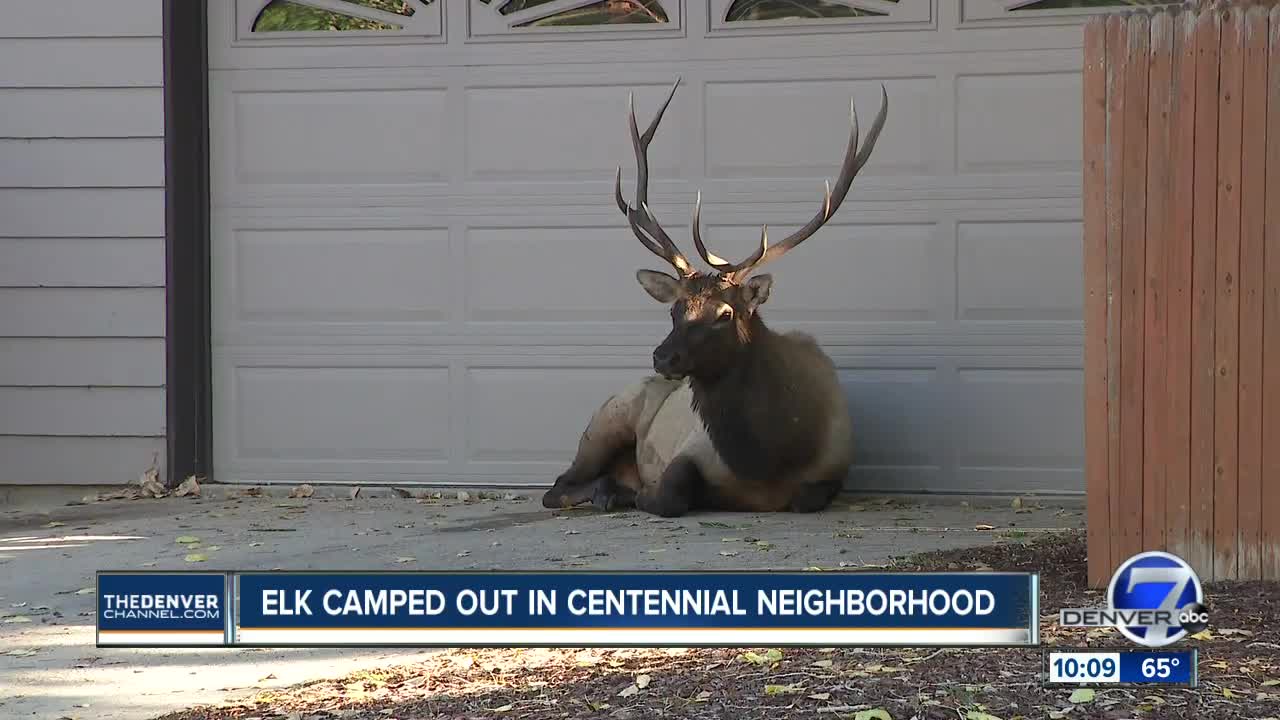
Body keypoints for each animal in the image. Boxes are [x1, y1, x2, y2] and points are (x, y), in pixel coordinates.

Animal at [542, 77, 890, 515]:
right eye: (674, 309)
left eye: (725, 313)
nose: (663, 357)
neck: (769, 459)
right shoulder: (690, 450)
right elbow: (669, 493)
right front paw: (637, 493)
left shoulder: (835, 467)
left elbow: (806, 499)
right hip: (606, 420)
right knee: (557, 486)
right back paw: (608, 491)